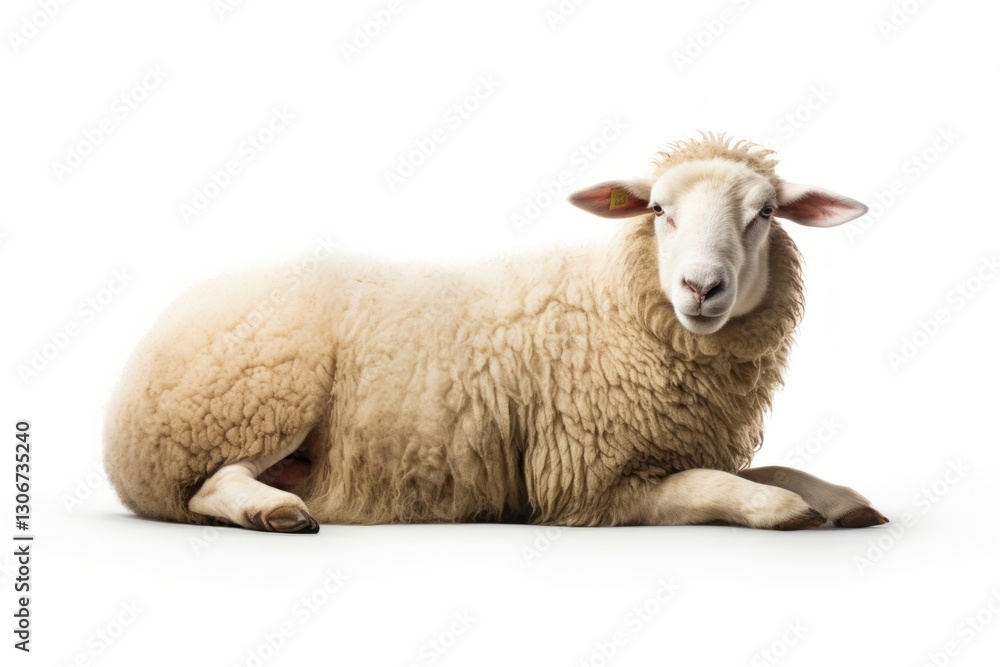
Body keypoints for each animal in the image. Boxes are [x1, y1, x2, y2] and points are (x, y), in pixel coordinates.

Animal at [104, 133, 887, 533]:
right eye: (660, 210)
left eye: (763, 214)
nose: (702, 288)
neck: (616, 307)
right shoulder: (589, 484)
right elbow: (717, 487)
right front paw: (785, 511)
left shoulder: (667, 447)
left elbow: (774, 467)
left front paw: (840, 498)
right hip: (253, 398)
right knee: (206, 486)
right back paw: (274, 510)